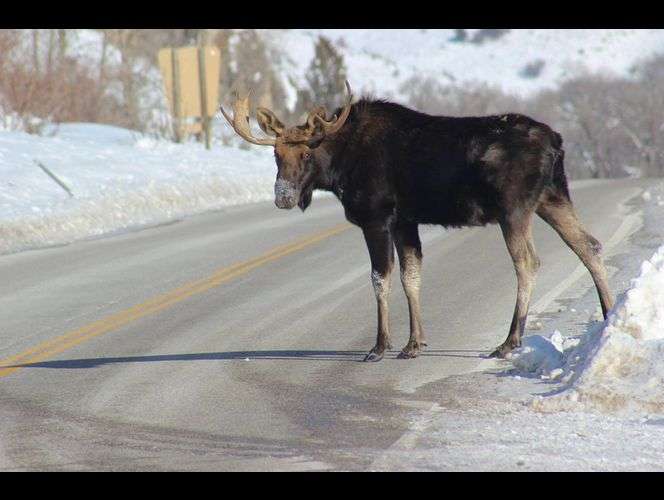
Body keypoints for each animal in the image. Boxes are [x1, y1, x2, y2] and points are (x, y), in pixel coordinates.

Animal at [220, 81, 614, 362]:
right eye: (275, 154)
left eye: (306, 153)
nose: (283, 197)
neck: (339, 169)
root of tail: (557, 142)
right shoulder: (405, 221)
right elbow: (412, 277)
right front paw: (414, 343)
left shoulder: (376, 217)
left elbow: (380, 278)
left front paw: (380, 346)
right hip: (552, 197)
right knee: (589, 245)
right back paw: (609, 314)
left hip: (514, 208)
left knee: (528, 262)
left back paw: (510, 341)